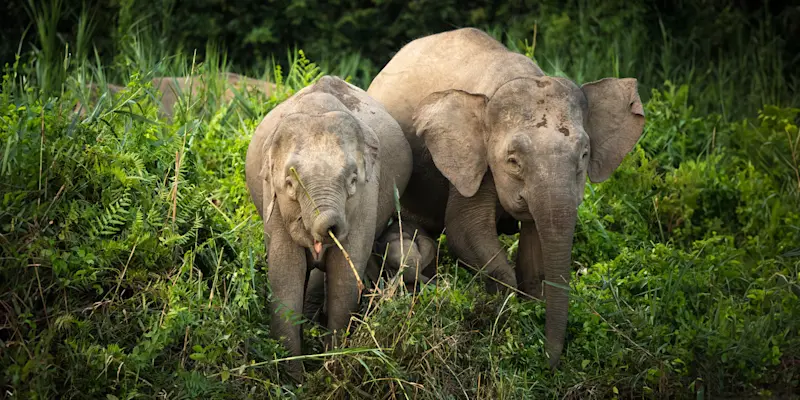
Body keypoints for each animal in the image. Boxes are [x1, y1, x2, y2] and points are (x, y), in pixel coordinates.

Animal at [244, 75, 412, 380]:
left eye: (353, 180)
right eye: (290, 183)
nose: (329, 227)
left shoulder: (366, 198)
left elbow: (344, 276)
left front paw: (331, 370)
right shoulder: (273, 200)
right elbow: (285, 274)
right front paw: (294, 380)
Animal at [366, 27, 645, 368]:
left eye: (584, 154)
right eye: (513, 161)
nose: (549, 362)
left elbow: (537, 244)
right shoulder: (471, 161)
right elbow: (466, 230)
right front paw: (503, 316)